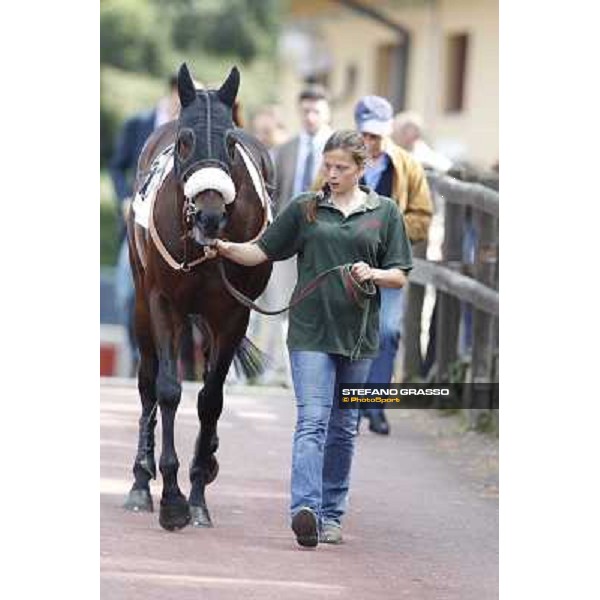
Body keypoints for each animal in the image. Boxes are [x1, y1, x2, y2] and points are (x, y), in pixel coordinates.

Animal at [125, 64, 274, 528]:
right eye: (186, 140)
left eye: (230, 143)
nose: (210, 215)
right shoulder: (163, 302)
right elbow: (169, 389)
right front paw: (171, 498)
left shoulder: (232, 315)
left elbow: (211, 399)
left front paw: (196, 494)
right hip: (141, 303)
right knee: (147, 381)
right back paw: (140, 480)